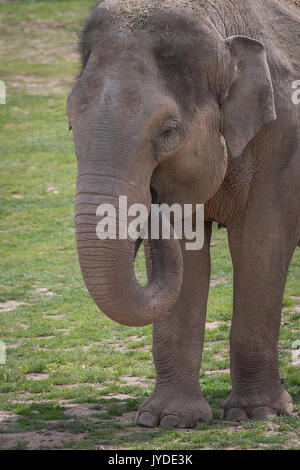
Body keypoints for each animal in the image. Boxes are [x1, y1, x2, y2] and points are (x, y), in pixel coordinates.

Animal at [68, 0, 300, 428]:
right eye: (70, 124)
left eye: (169, 131)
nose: (153, 197)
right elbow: (189, 256)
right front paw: (166, 419)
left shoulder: (284, 142)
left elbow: (260, 244)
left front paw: (256, 413)